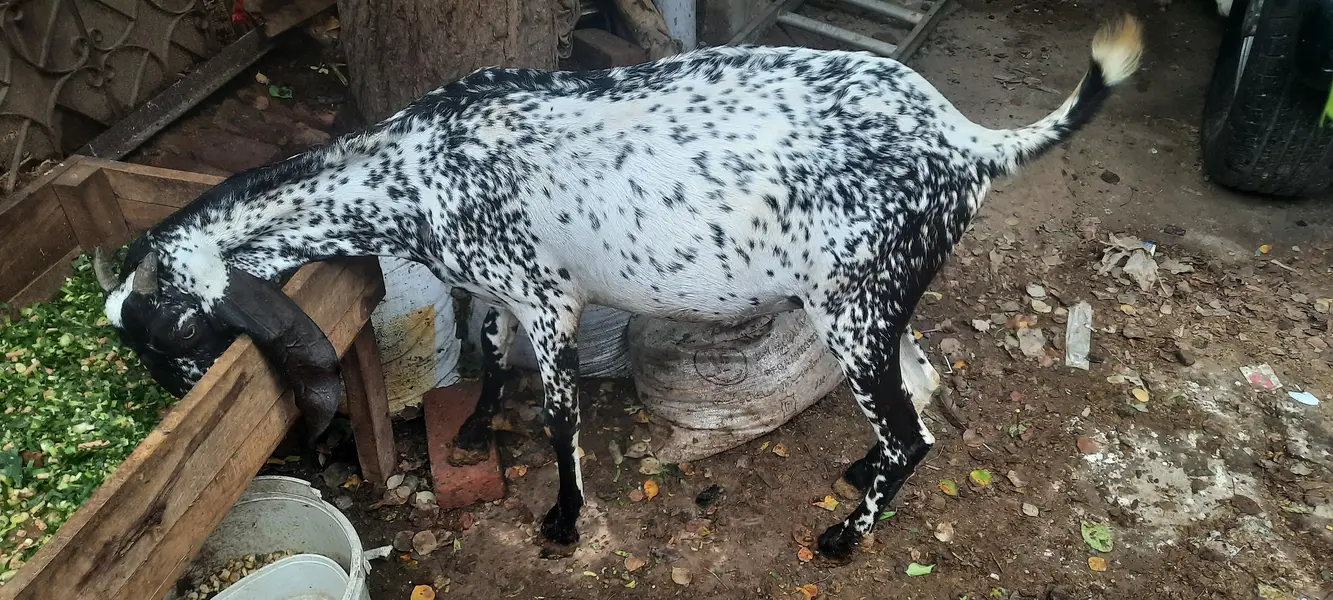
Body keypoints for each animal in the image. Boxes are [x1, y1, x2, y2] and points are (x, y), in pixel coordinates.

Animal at [96, 16, 1142, 560]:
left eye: (169, 340)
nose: (177, 404)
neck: (410, 170)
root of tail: (969, 142)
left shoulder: (546, 296)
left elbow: (560, 413)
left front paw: (561, 519)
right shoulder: (497, 286)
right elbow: (486, 352)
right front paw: (474, 431)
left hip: (853, 303)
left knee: (910, 429)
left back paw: (847, 536)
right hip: (879, 297)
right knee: (915, 396)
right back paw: (857, 478)